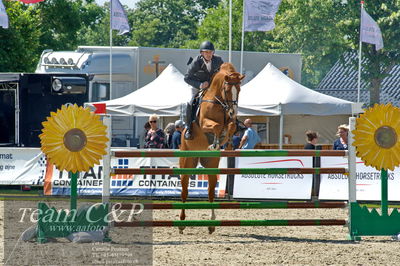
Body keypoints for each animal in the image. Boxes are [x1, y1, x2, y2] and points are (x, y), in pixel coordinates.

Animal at [180, 62, 244, 233]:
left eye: (239, 89)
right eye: (227, 90)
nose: (233, 112)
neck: (219, 102)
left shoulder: (230, 122)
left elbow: (230, 127)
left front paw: (226, 143)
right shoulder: (204, 123)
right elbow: (215, 126)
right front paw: (214, 142)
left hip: (212, 165)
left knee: (210, 192)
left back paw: (211, 224)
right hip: (187, 163)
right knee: (184, 190)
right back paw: (181, 223)